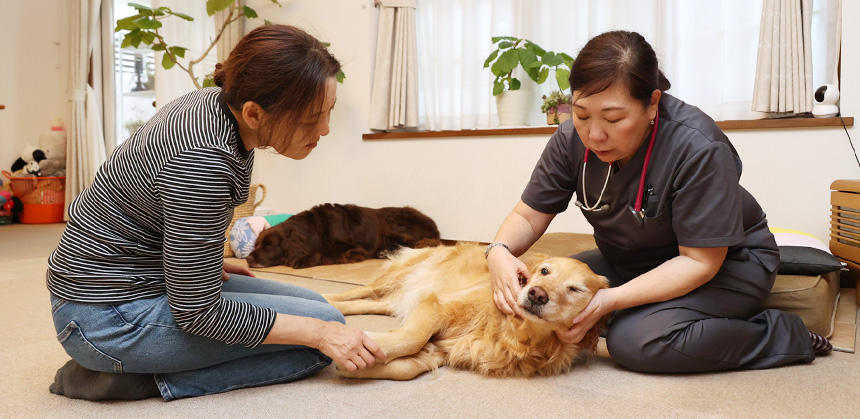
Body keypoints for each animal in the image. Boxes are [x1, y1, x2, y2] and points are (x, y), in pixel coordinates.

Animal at [245, 203, 440, 270]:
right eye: (256, 245)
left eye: (268, 245)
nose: (248, 259)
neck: (315, 230)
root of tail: (434, 225)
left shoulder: (352, 246)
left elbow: (322, 251)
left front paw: (303, 260)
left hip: (390, 221)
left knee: (420, 243)